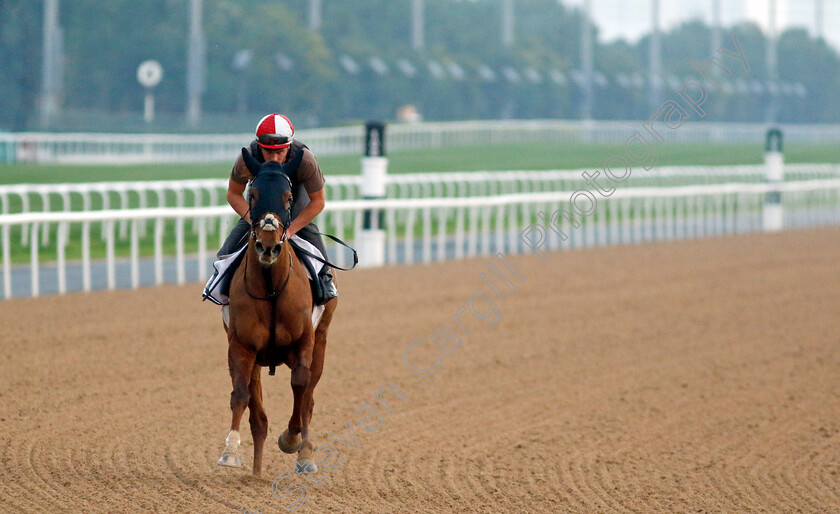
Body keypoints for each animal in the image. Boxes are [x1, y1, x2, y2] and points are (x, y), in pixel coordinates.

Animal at [218, 146, 336, 474]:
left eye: (288, 194)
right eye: (253, 193)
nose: (268, 245)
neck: (271, 288)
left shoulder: (305, 340)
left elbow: (301, 387)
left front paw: (295, 443)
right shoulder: (241, 344)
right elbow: (240, 394)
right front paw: (230, 451)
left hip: (322, 338)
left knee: (309, 396)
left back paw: (304, 450)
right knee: (258, 415)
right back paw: (257, 471)